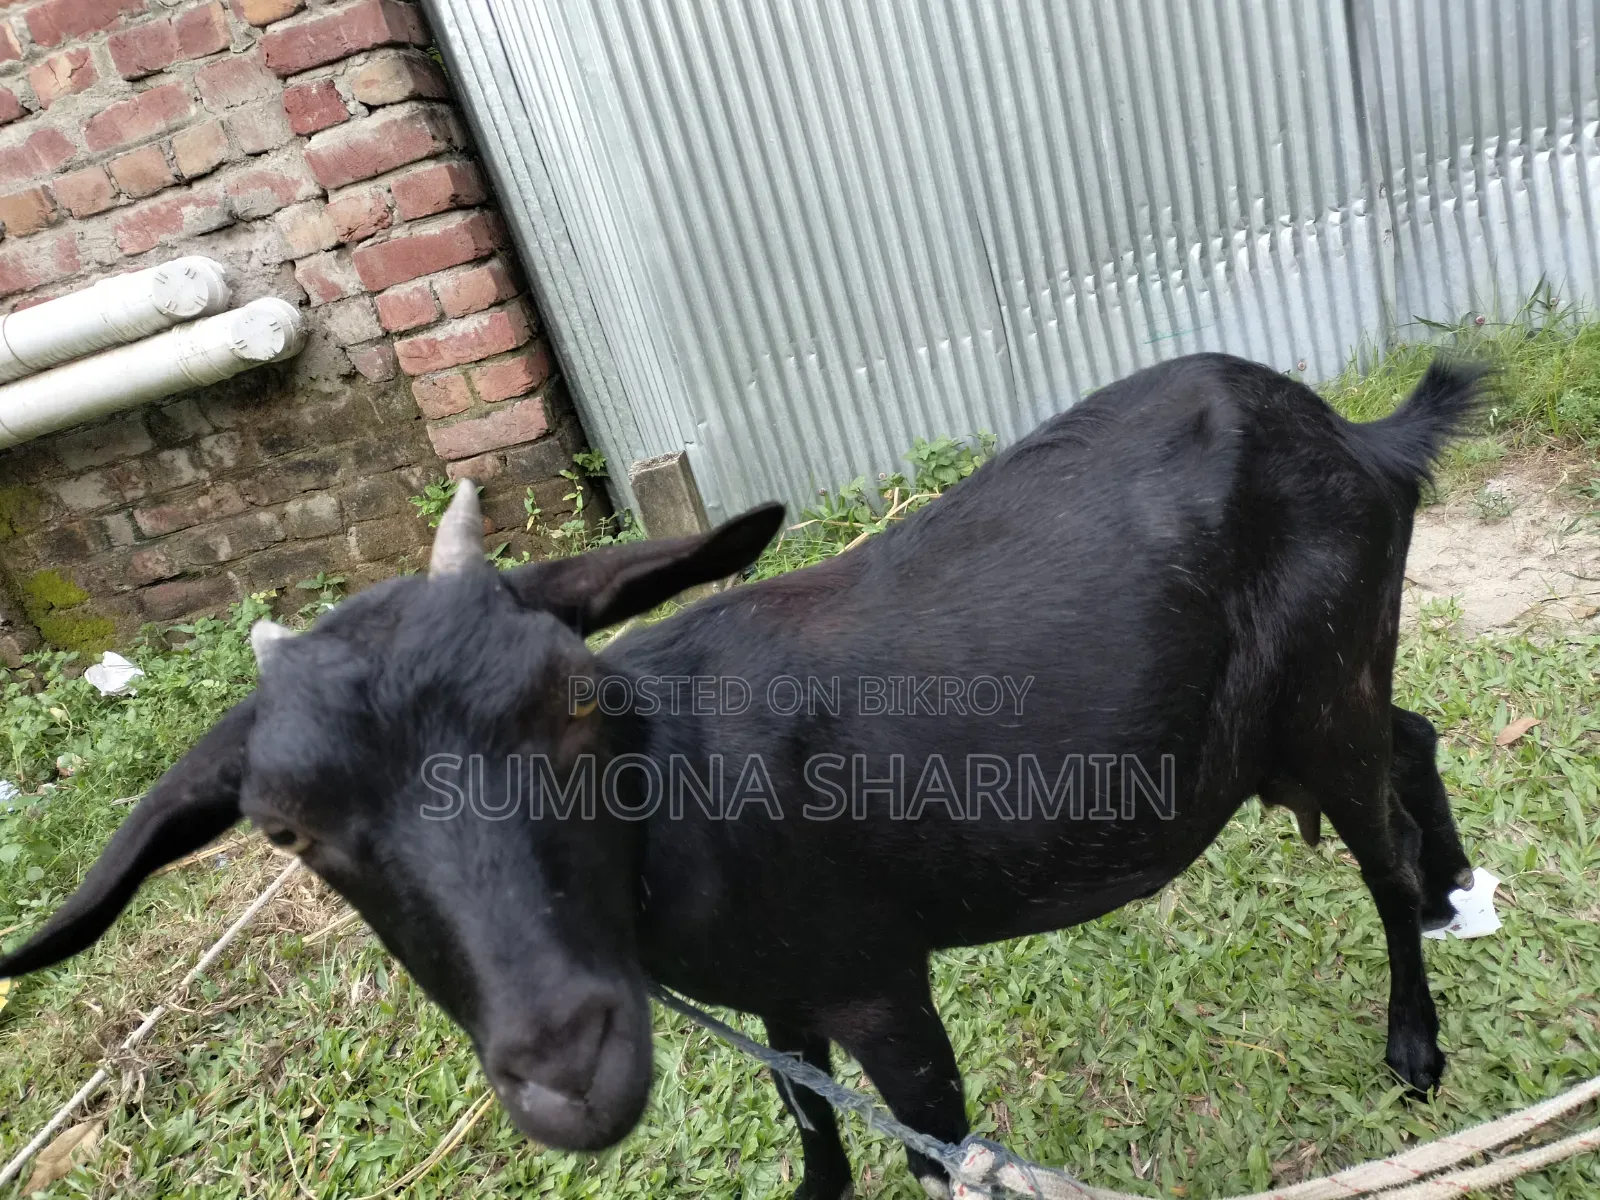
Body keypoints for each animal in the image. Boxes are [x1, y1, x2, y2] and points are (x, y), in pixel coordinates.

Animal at [0, 353, 1482, 1199]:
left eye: (575, 703)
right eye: (288, 834)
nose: (571, 1068)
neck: (683, 811)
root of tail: (1359, 435)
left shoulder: (878, 979)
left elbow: (937, 1144)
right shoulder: (781, 990)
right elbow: (808, 1120)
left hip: (1319, 694)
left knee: (1376, 840)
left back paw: (1415, 1040)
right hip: (1331, 685)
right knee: (1413, 734)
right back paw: (1459, 885)